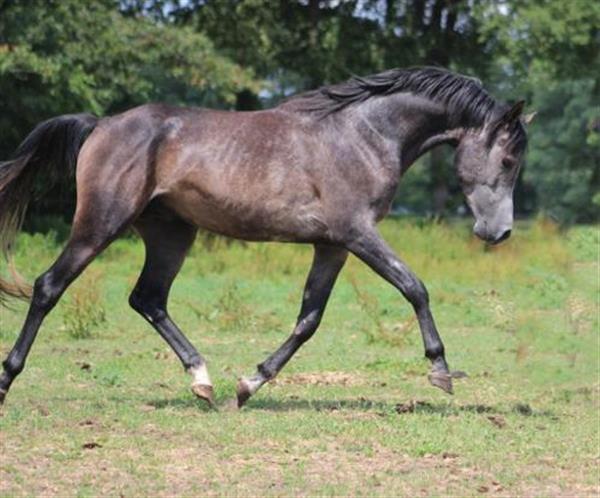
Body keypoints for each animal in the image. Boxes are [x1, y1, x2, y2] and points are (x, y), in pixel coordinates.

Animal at [0, 66, 528, 408]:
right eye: (507, 159)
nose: (499, 232)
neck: (363, 135)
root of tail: (101, 124)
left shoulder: (333, 245)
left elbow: (308, 320)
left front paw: (249, 384)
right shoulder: (358, 232)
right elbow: (414, 287)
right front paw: (440, 371)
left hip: (171, 233)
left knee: (147, 299)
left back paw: (203, 382)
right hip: (101, 223)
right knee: (49, 287)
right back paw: (7, 380)